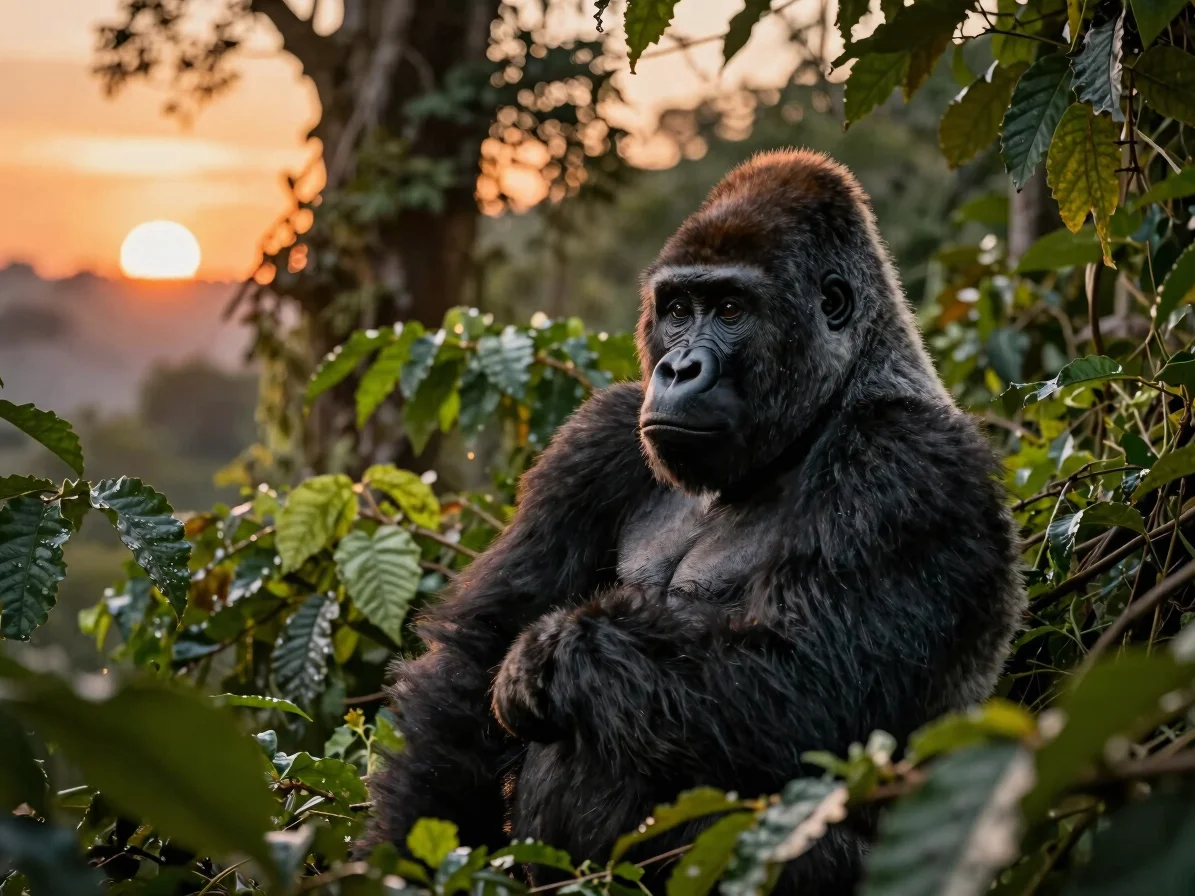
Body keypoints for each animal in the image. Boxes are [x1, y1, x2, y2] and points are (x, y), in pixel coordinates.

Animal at [368, 149, 1023, 895]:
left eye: (732, 309)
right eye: (678, 310)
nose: (677, 368)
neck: (826, 403)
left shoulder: (907, 463)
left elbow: (813, 685)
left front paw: (555, 653)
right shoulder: (598, 437)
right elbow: (470, 659)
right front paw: (398, 865)